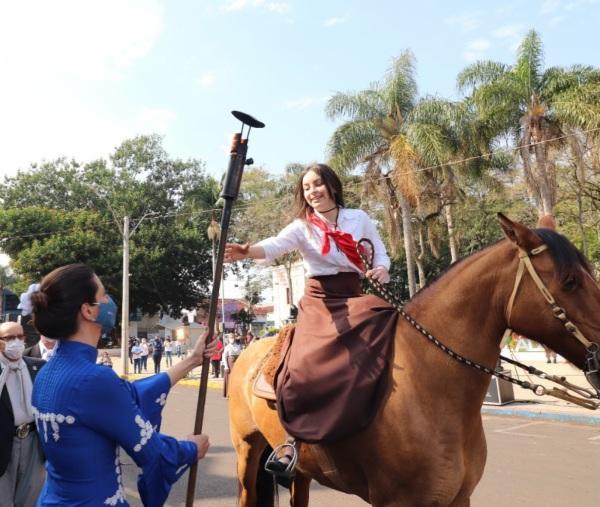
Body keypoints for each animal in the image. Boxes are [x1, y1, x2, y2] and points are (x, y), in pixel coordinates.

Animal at [229, 215, 600, 507]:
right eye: (570, 281)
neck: (428, 387)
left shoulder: (459, 498)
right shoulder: (397, 501)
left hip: (301, 472)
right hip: (246, 450)